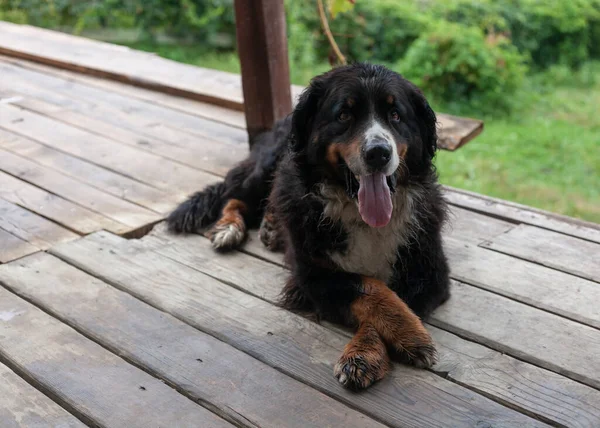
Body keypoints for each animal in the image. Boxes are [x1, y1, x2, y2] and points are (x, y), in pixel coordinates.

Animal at [168, 64, 450, 392]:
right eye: (344, 115)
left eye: (395, 114)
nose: (378, 152)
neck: (360, 215)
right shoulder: (312, 274)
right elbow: (369, 287)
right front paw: (407, 336)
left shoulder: (428, 271)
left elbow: (390, 299)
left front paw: (366, 353)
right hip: (266, 168)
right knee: (236, 196)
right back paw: (230, 228)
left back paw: (271, 227)